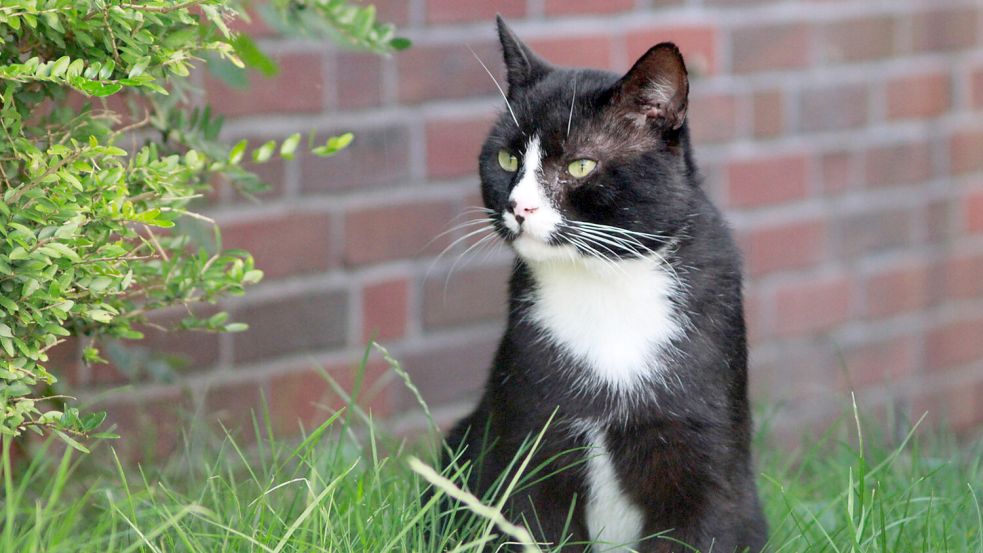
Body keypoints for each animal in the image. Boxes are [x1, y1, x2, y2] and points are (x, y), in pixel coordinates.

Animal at [442, 17, 772, 552]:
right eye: (507, 159)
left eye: (581, 164)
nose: (518, 206)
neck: (606, 283)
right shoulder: (527, 442)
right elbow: (531, 524)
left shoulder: (706, 455)